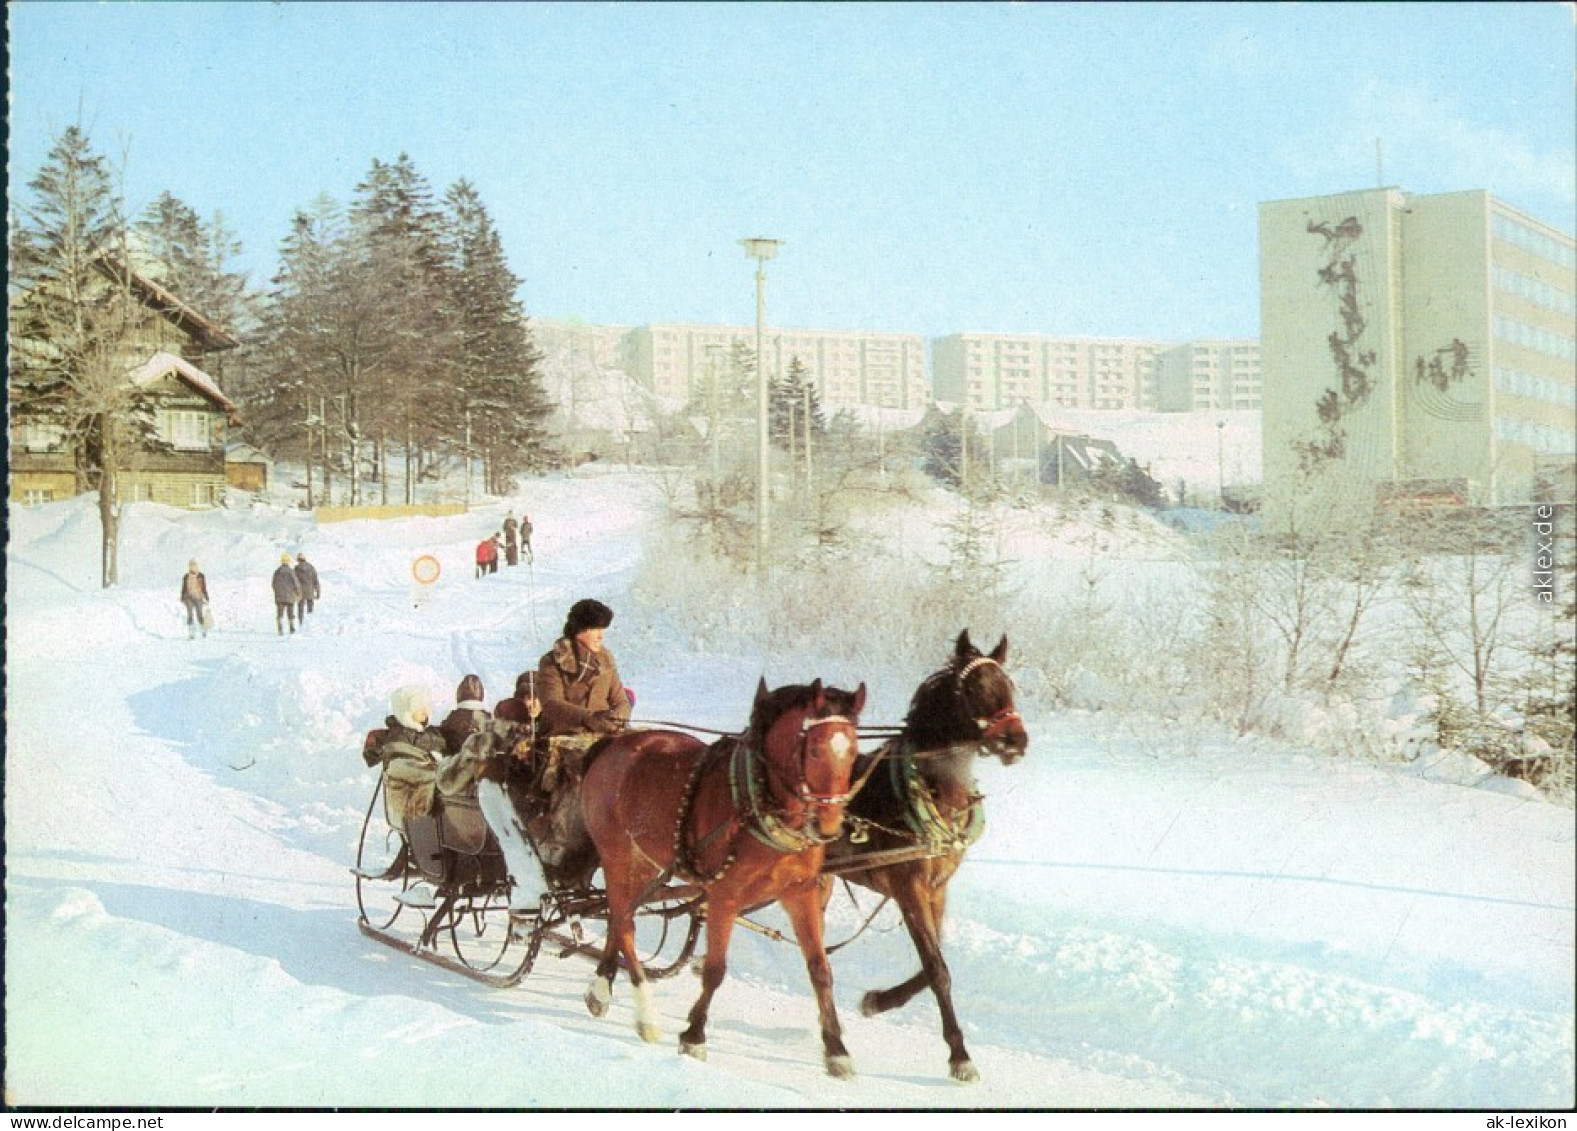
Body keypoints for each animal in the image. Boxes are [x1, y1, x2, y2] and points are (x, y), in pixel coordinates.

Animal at [580, 678, 870, 1078]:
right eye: (813, 750)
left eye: (854, 752)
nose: (828, 828)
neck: (760, 802)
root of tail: (613, 745)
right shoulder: (724, 897)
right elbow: (715, 970)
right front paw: (694, 1035)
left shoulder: (801, 894)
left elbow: (820, 970)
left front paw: (836, 1050)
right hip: (617, 857)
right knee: (624, 925)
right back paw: (647, 1015)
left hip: (644, 865)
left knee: (617, 919)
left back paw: (601, 987)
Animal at [826, 630, 1034, 1078]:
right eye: (975, 690)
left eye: (1009, 686)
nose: (1016, 741)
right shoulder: (909, 887)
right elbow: (938, 969)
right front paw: (960, 1056)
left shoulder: (937, 889)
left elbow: (933, 965)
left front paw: (876, 1001)